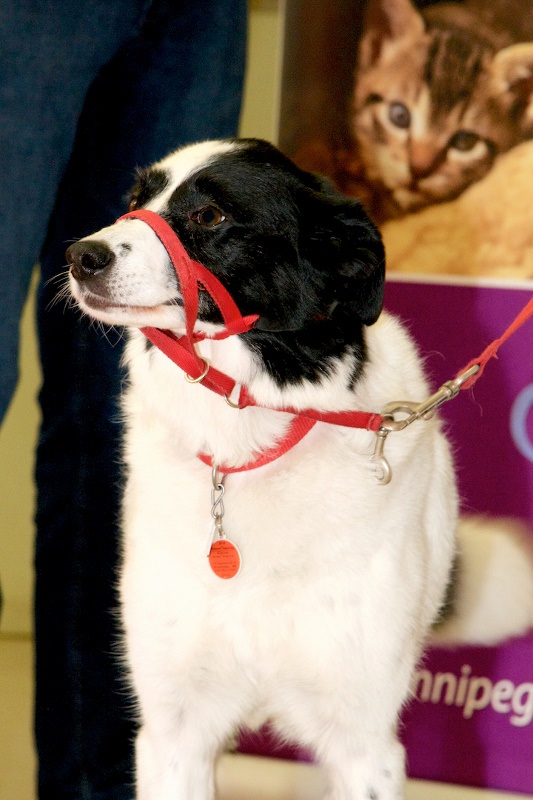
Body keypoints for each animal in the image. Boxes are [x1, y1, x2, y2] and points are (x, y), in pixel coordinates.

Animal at [67, 139, 532, 800]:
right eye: (136, 199)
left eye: (211, 216)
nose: (81, 256)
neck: (245, 447)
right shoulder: (174, 733)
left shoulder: (365, 743)